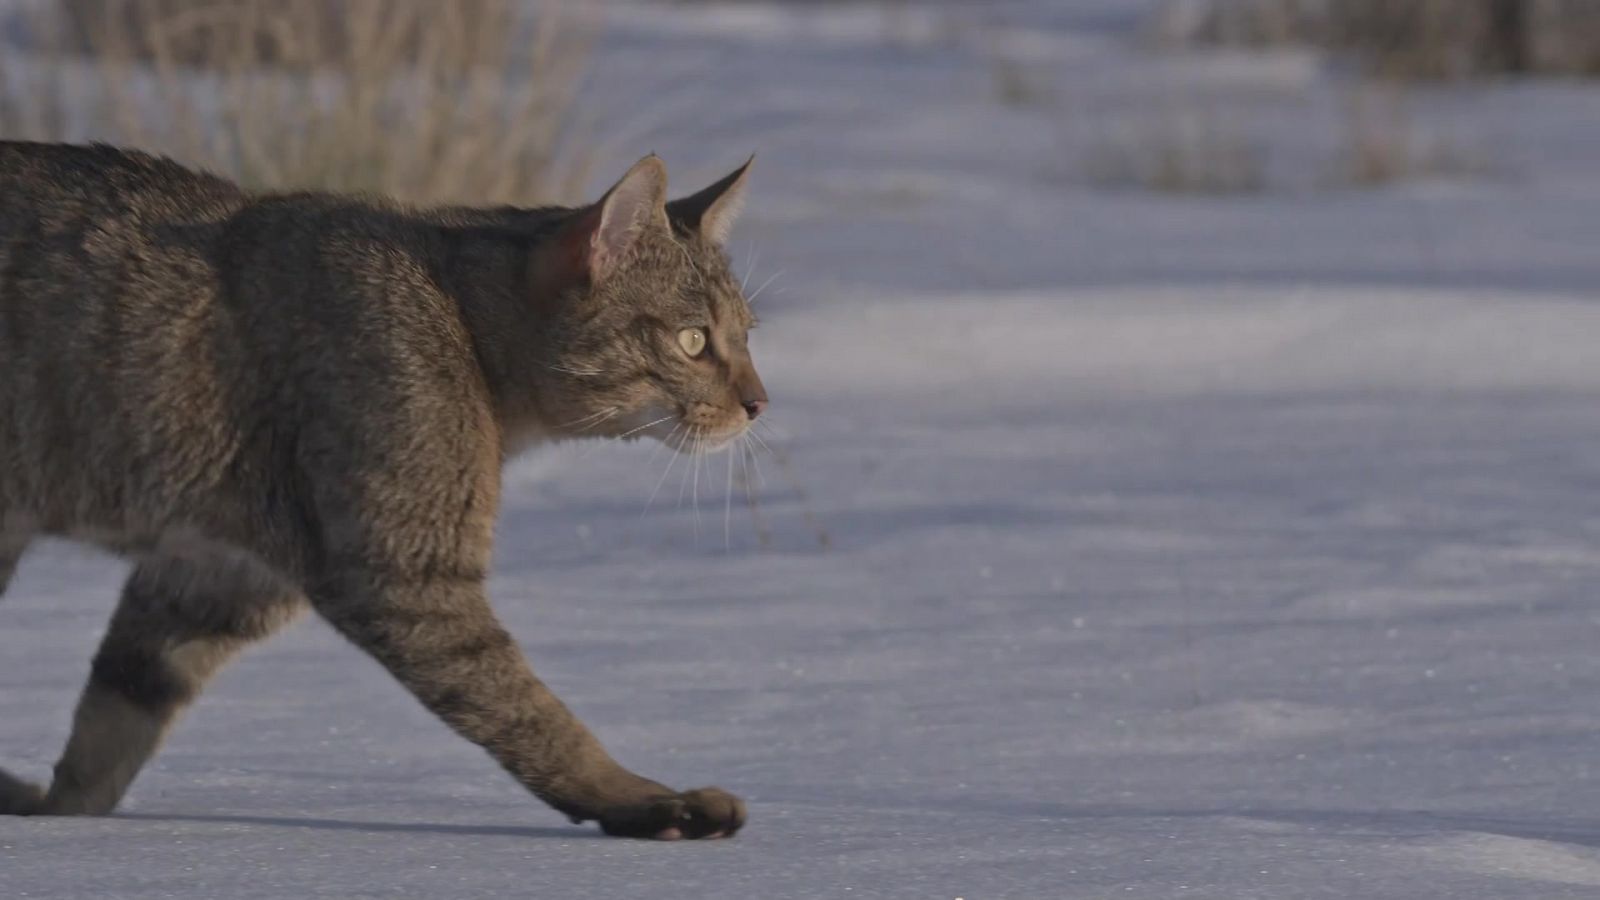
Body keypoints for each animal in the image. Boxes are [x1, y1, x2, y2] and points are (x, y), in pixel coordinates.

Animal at [0, 138, 768, 832]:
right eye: (694, 341)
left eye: (748, 334)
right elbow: (527, 710)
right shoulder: (403, 572)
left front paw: (59, 816)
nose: (760, 402)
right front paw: (637, 798)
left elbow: (116, 717)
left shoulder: (212, 578)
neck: (462, 320)